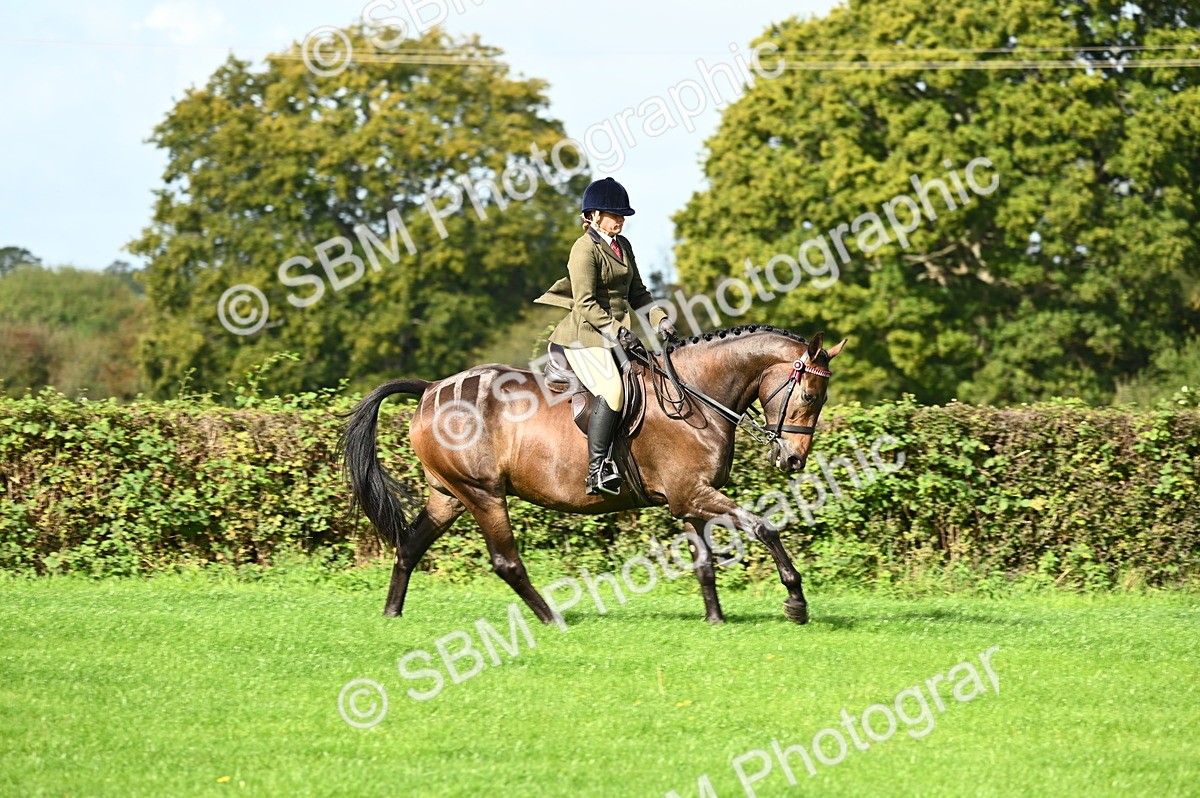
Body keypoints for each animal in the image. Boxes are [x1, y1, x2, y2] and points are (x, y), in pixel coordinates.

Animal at [339, 324, 847, 625]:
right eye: (809, 395)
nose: (793, 461)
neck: (696, 396)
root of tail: (430, 389)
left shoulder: (690, 500)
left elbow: (703, 563)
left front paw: (716, 620)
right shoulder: (693, 494)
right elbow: (764, 527)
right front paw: (795, 601)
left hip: (448, 495)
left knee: (410, 544)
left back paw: (391, 614)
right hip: (483, 494)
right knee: (505, 561)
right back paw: (551, 619)